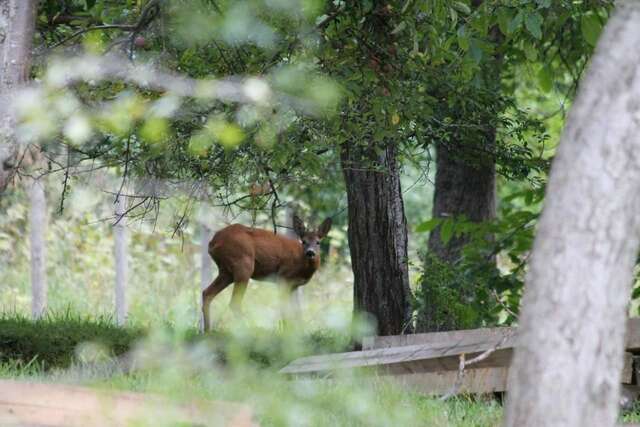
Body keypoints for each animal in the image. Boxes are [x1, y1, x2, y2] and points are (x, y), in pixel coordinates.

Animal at [202, 216, 332, 332]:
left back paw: (207, 330)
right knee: (234, 303)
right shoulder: (283, 277)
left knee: (207, 293)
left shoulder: (294, 286)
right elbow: (284, 308)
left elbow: (295, 311)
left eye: (318, 242)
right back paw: (251, 329)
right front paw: (287, 331)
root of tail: (213, 242)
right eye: (304, 241)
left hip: (226, 271)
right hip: (243, 264)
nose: (310, 252)